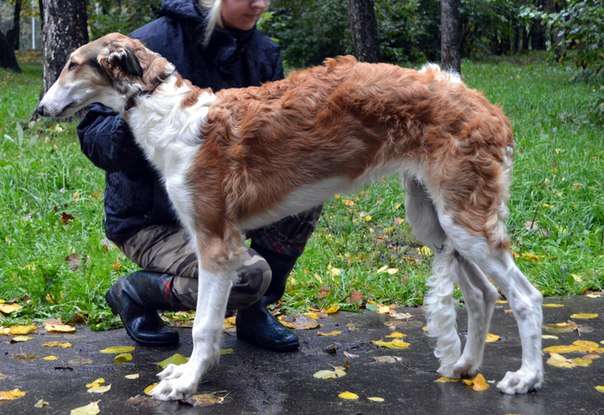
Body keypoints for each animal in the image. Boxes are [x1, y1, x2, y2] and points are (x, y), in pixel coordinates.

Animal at [39, 33, 548, 404]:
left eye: (72, 64)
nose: (39, 109)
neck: (171, 116)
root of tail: (490, 109)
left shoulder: (215, 243)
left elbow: (204, 326)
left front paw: (186, 382)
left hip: (464, 220)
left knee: (525, 297)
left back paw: (526, 377)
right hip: (437, 221)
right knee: (483, 295)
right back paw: (464, 366)